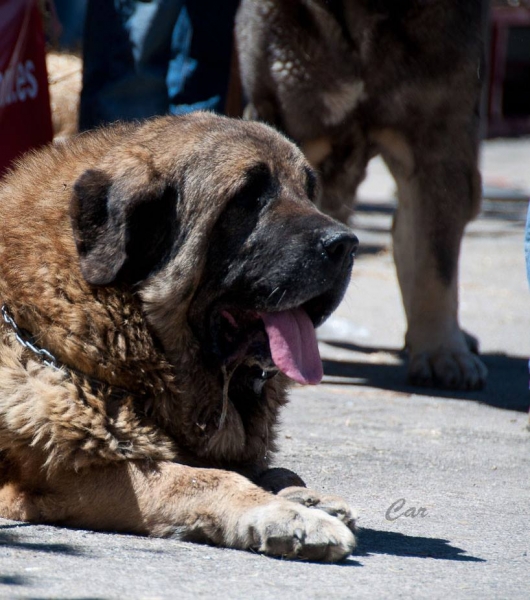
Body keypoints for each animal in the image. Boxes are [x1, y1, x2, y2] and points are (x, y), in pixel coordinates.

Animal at [0, 112, 358, 564]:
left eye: (310, 192)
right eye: (248, 196)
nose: (347, 244)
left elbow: (273, 470)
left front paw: (302, 496)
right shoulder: (68, 477)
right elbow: (202, 478)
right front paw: (286, 515)